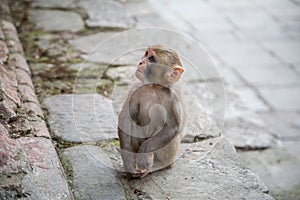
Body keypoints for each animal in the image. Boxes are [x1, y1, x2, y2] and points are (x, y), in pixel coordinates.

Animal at [117, 45, 185, 178]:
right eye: (146, 54)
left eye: (152, 59)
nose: (141, 62)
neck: (153, 87)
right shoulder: (135, 88)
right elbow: (126, 118)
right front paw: (128, 161)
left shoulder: (172, 99)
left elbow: (173, 127)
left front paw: (144, 155)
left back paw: (158, 166)